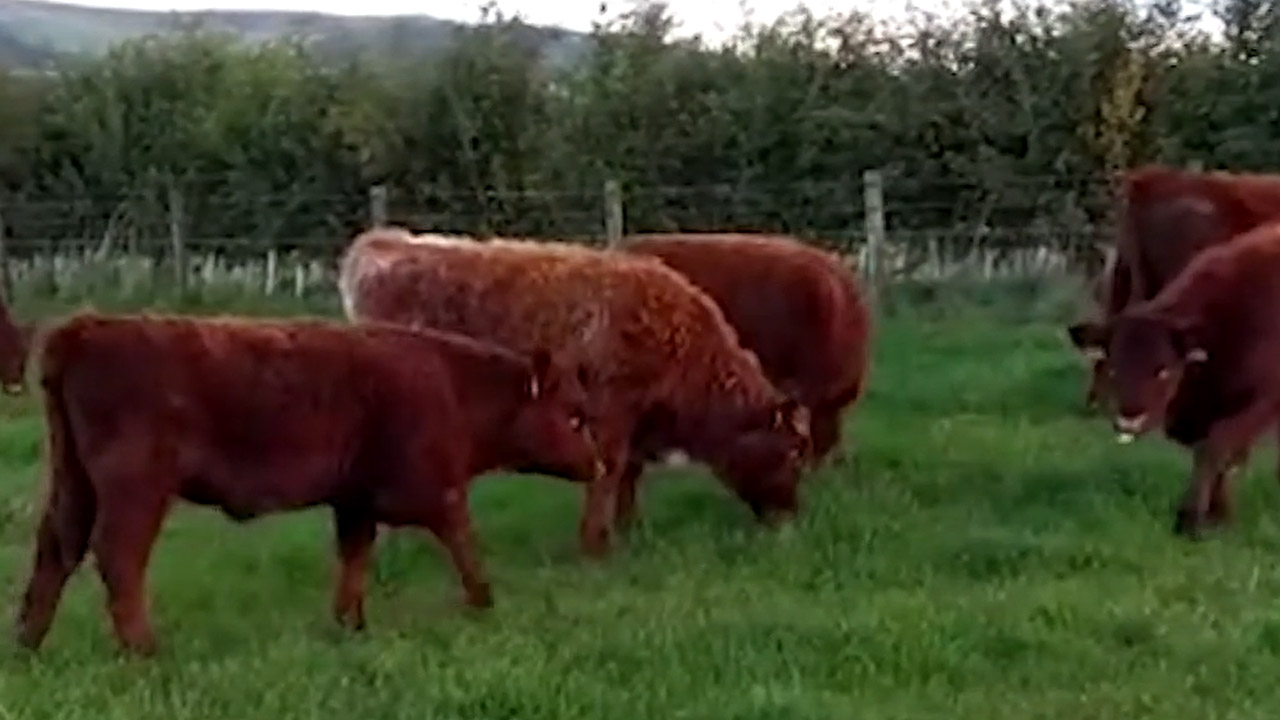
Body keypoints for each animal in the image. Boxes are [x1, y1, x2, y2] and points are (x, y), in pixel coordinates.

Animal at [13, 311, 605, 655]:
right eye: (575, 416)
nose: (599, 465)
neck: (452, 383)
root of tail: (85, 327)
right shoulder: (433, 490)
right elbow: (464, 541)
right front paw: (484, 602)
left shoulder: (355, 498)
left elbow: (355, 556)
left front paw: (350, 624)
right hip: (136, 487)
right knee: (119, 555)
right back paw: (146, 649)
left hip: (74, 482)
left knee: (57, 547)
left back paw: (28, 643)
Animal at [338, 228, 813, 558]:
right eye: (791, 451)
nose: (791, 519)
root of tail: (384, 242)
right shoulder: (612, 409)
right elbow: (609, 471)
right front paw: (597, 545)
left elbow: (627, 473)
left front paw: (628, 529)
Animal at [1067, 220, 1280, 539]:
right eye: (1113, 368)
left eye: (1163, 369)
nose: (1130, 417)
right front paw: (1220, 518)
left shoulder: (1261, 403)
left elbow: (1215, 448)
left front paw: (1191, 520)